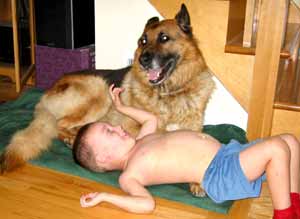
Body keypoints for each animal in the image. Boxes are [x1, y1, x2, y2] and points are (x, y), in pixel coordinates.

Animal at [1, 3, 214, 195]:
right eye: (143, 41)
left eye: (164, 38)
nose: (142, 60)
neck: (170, 92)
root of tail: (48, 93)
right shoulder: (133, 127)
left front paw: (198, 181)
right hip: (99, 90)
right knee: (60, 123)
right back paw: (71, 138)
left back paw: (75, 135)